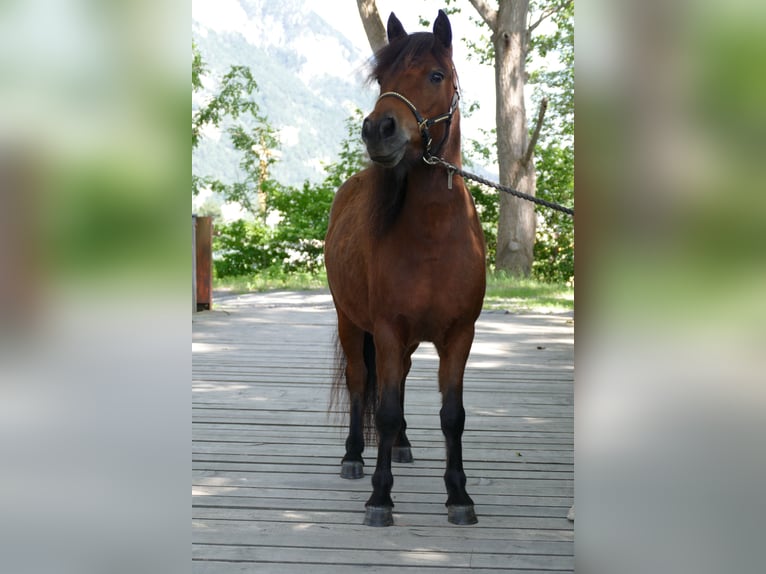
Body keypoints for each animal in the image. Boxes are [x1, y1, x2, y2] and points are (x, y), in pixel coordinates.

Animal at [324, 10, 486, 532]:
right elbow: (387, 407)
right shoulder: (388, 331)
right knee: (361, 385)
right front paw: (380, 496)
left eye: (436, 76)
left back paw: (403, 446)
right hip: (350, 323)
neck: (433, 236)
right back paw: (355, 455)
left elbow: (452, 415)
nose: (379, 129)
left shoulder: (459, 335)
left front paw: (459, 495)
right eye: (383, 80)